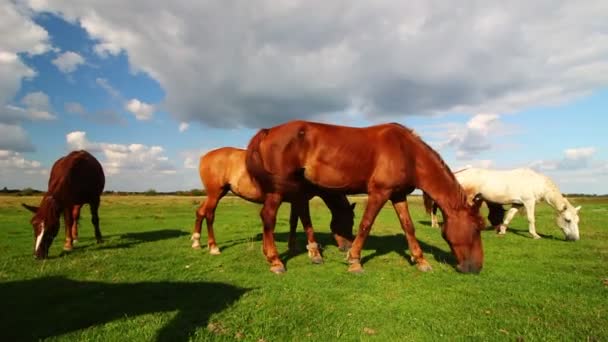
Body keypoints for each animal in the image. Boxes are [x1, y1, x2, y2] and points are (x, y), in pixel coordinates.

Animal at [191, 146, 356, 264]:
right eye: (349, 220)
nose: (348, 247)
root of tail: (205, 157)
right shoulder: (302, 200)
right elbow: (307, 224)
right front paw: (314, 253)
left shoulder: (295, 200)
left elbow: (293, 222)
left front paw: (291, 246)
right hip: (215, 194)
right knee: (209, 215)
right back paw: (213, 247)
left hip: (216, 194)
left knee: (200, 212)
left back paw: (196, 242)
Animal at [246, 119, 484, 274]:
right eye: (476, 229)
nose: (477, 267)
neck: (407, 151)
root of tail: (268, 130)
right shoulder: (379, 192)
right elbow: (366, 224)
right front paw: (354, 261)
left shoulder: (397, 195)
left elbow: (408, 226)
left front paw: (421, 261)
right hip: (277, 192)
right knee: (268, 217)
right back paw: (275, 261)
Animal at [422, 168, 580, 240]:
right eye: (567, 220)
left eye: (577, 221)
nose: (575, 239)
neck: (536, 183)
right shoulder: (529, 202)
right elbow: (531, 219)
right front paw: (535, 235)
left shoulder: (517, 204)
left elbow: (509, 216)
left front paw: (502, 231)